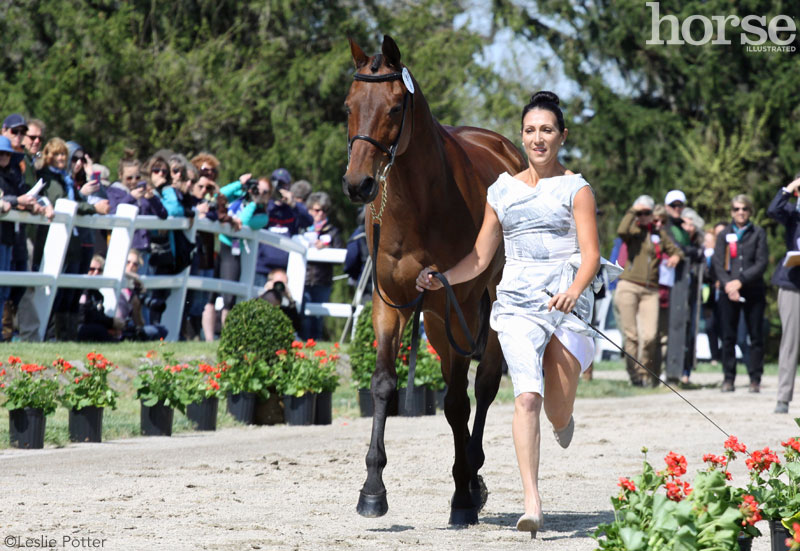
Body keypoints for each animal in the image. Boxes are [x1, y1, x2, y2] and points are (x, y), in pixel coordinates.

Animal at [342, 35, 524, 528]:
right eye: (349, 105)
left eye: (394, 107)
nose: (358, 184)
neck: (420, 206)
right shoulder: (390, 302)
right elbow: (383, 385)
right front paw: (372, 490)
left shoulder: (456, 303)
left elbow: (459, 400)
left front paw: (461, 496)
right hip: (439, 323)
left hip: (482, 308)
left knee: (482, 387)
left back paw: (472, 476)